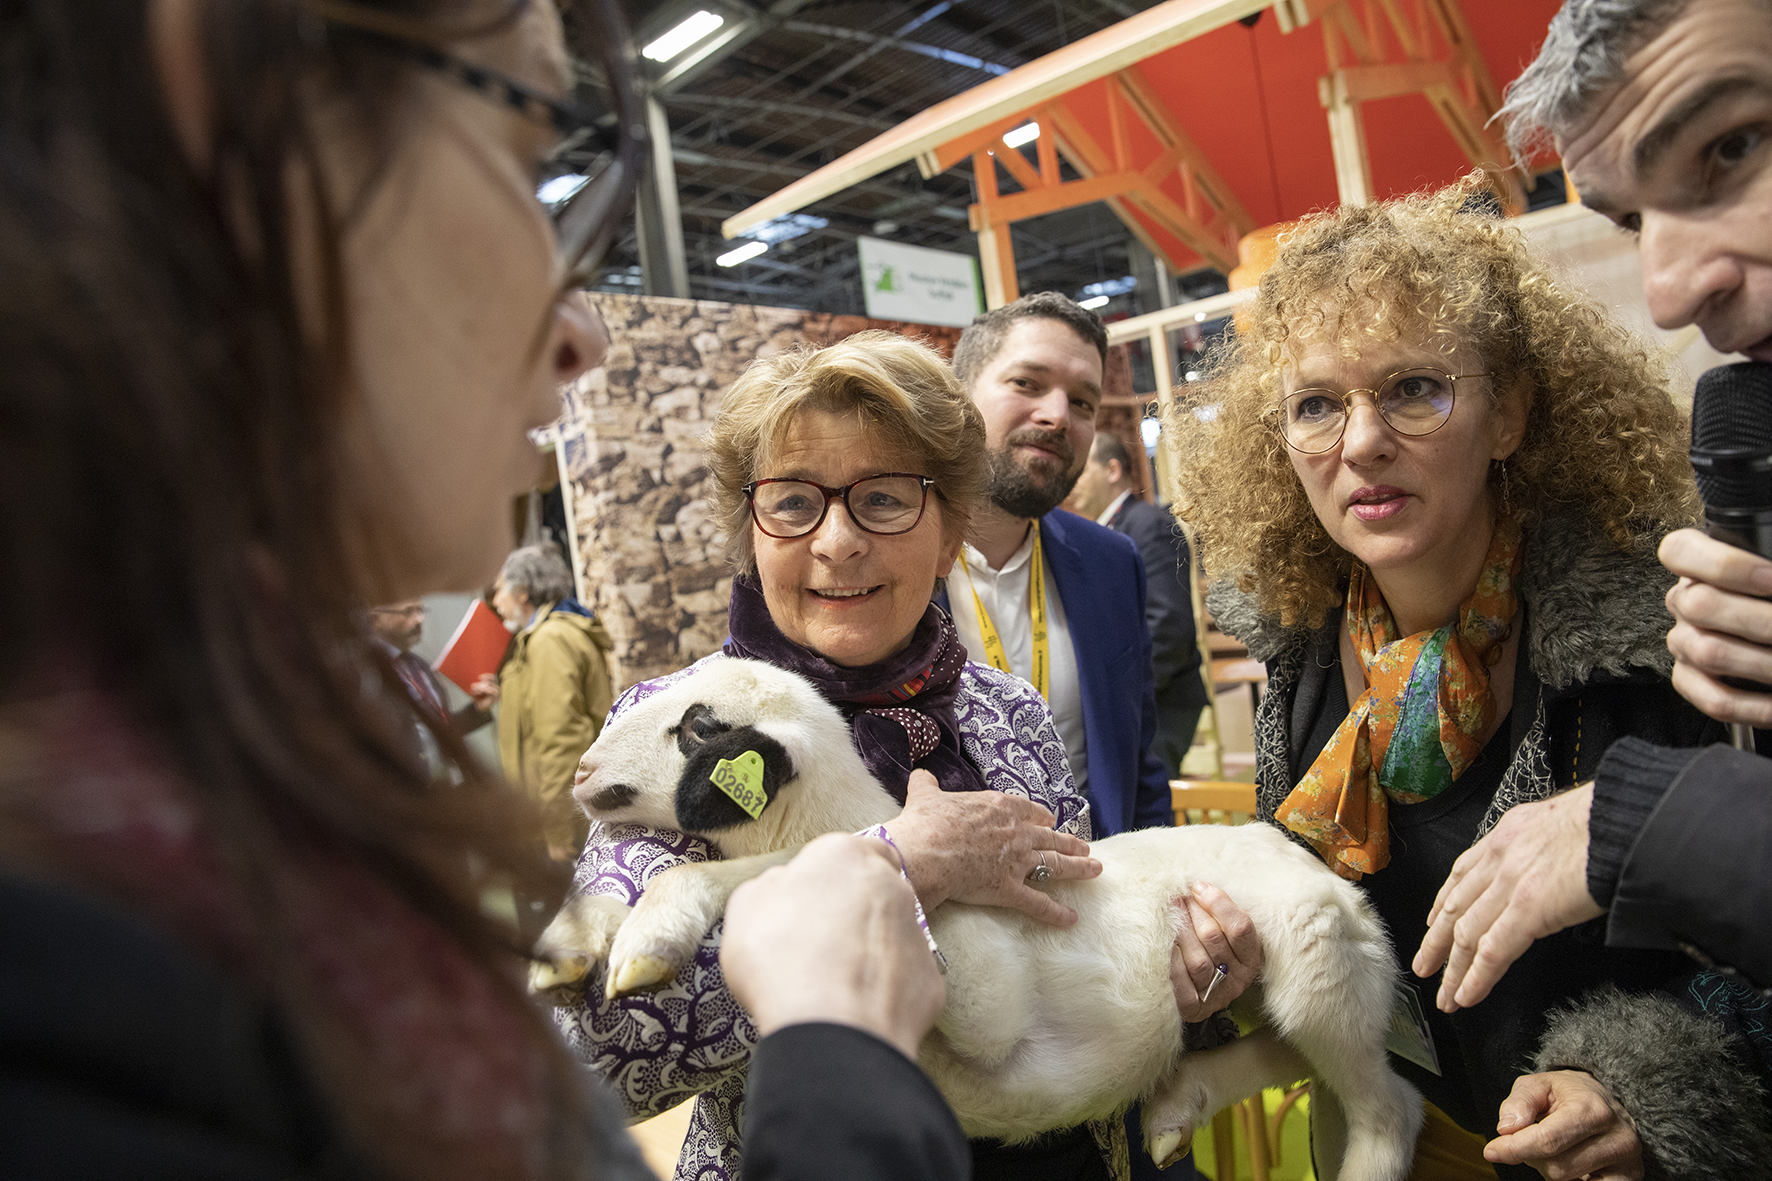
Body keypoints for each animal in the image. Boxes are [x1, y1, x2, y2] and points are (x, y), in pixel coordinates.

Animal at [531, 656, 1417, 1170]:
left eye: (697, 728)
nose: (580, 769)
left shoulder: (985, 992)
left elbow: (774, 871)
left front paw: (653, 930)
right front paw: (575, 941)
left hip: (1317, 957)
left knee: (1388, 1105)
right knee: (1293, 1052)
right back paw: (1177, 1107)